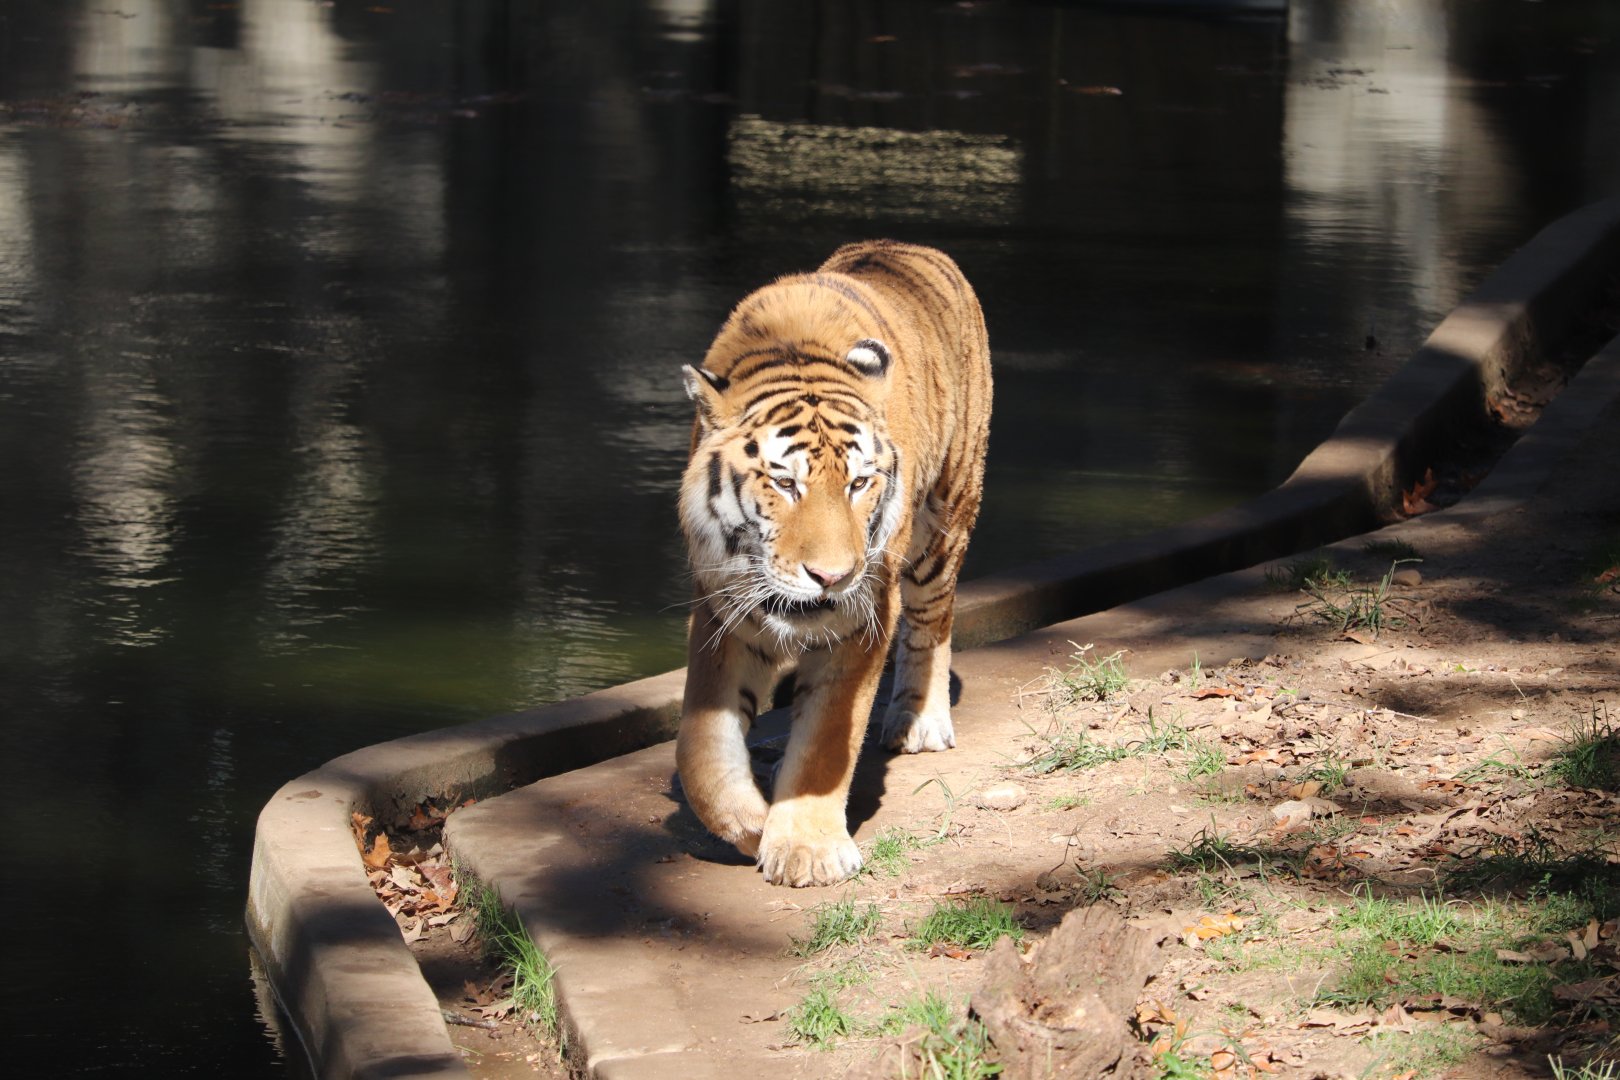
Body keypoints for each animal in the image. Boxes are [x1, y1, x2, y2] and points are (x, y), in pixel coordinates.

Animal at [676, 239, 992, 887]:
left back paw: (920, 722)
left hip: (945, 520)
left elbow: (826, 737)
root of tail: (907, 244)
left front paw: (806, 849)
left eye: (859, 484)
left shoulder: (864, 611)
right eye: (784, 483)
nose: (832, 577)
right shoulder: (721, 605)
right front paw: (750, 821)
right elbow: (702, 746)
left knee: (932, 623)